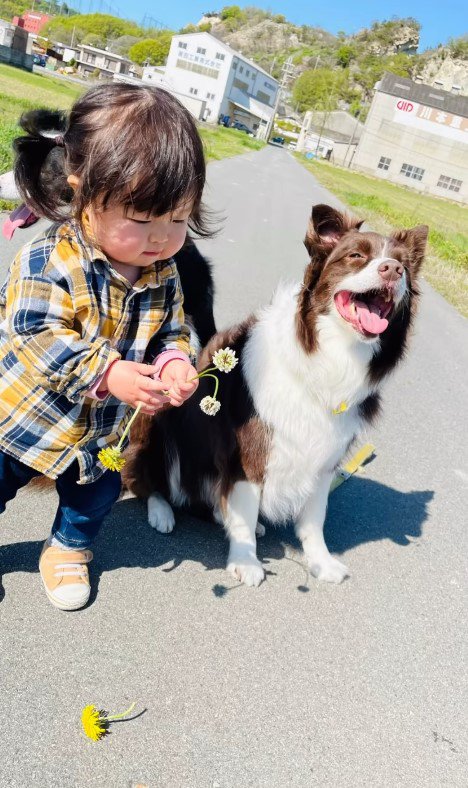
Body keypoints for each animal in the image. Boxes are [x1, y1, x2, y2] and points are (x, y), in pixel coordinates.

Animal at [123, 203, 428, 584]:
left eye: (403, 266)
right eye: (356, 256)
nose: (393, 270)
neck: (330, 356)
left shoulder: (325, 457)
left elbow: (314, 519)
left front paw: (321, 562)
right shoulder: (249, 453)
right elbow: (244, 506)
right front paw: (246, 561)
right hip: (154, 426)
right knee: (144, 480)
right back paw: (162, 512)